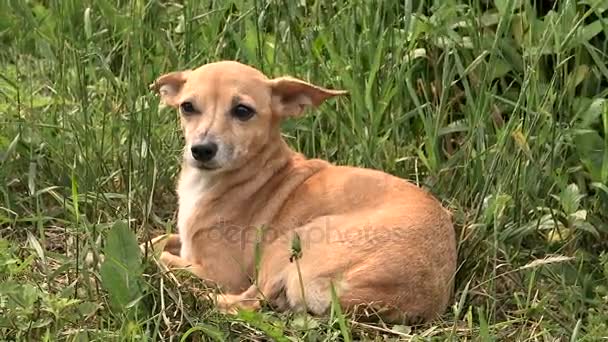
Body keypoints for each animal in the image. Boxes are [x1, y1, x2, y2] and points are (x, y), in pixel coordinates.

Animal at [146, 60, 456, 324]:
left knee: (246, 302)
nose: (201, 150)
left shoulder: (222, 274)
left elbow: (157, 253)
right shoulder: (185, 242)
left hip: (286, 243)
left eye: (243, 111)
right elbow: (156, 240)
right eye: (187, 107)